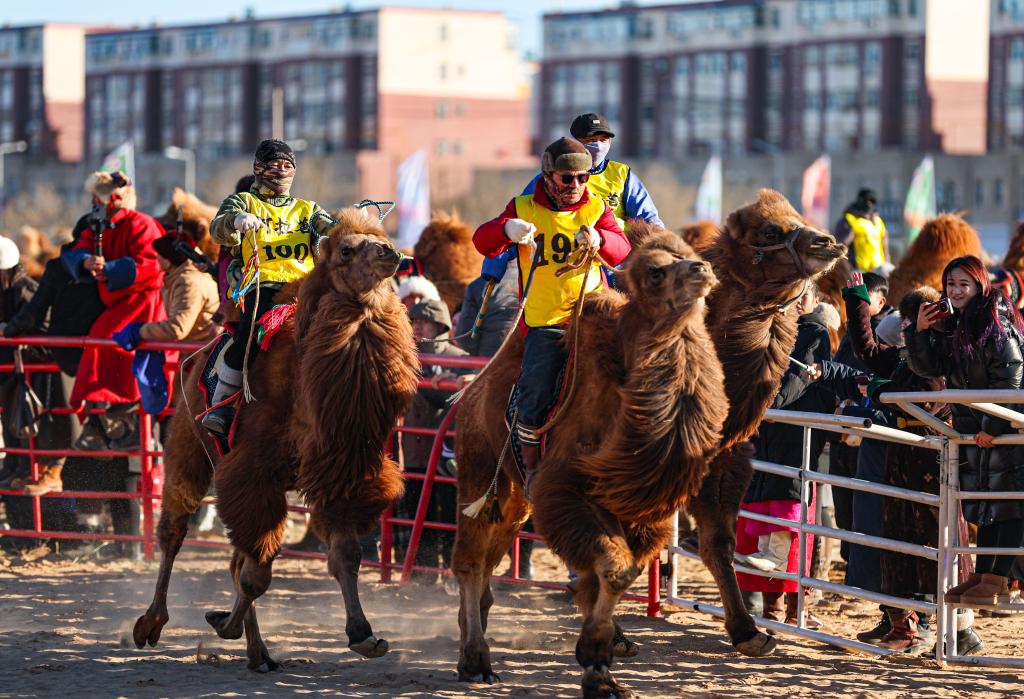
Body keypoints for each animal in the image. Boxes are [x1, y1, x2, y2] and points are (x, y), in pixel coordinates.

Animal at [133, 207, 419, 670]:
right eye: (346, 249)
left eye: (383, 237)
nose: (392, 253)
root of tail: (195, 358)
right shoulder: (253, 473)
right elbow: (256, 576)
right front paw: (224, 625)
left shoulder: (339, 473)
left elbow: (343, 556)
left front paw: (363, 634)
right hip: (187, 443)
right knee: (174, 530)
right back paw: (151, 624)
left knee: (236, 558)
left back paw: (259, 653)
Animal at [453, 190, 846, 697]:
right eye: (769, 231)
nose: (828, 242)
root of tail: (469, 392)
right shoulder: (577, 483)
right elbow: (616, 560)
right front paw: (601, 652)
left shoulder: (715, 469)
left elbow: (717, 543)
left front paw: (749, 633)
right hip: (484, 468)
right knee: (471, 557)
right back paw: (476, 658)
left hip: (516, 494)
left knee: (494, 551)